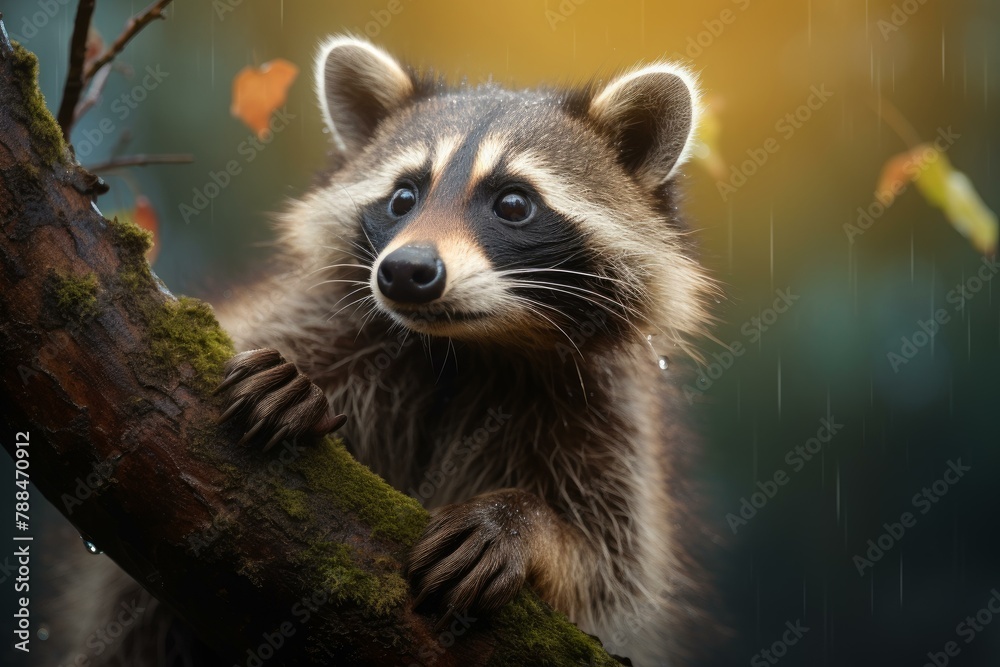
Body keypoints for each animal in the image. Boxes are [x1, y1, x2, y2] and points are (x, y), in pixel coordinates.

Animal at [51, 36, 721, 667]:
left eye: (513, 203)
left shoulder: (608, 415)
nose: (404, 272)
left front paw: (525, 525)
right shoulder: (314, 321)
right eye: (403, 197)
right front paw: (300, 387)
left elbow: (611, 572)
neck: (468, 348)